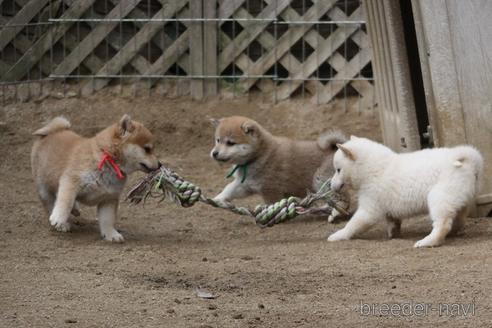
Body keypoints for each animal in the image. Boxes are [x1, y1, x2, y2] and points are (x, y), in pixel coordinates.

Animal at [30, 114, 160, 241]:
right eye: (147, 149)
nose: (160, 164)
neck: (107, 158)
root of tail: (54, 131)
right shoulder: (71, 181)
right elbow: (66, 201)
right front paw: (59, 218)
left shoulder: (109, 197)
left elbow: (107, 219)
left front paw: (110, 234)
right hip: (44, 188)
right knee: (51, 203)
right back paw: (62, 223)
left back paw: (75, 209)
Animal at [210, 114, 346, 202]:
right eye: (218, 140)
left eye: (230, 143)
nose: (214, 153)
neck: (258, 156)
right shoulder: (245, 184)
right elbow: (229, 189)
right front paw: (217, 199)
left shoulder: (271, 190)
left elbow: (271, 205)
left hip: (321, 180)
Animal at [328, 136, 482, 249]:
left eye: (338, 170)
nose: (330, 185)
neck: (373, 169)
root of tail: (469, 160)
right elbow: (392, 221)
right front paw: (393, 234)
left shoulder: (369, 209)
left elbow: (353, 224)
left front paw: (338, 235)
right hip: (457, 198)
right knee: (458, 219)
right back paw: (453, 232)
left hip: (439, 197)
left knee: (442, 224)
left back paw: (428, 241)